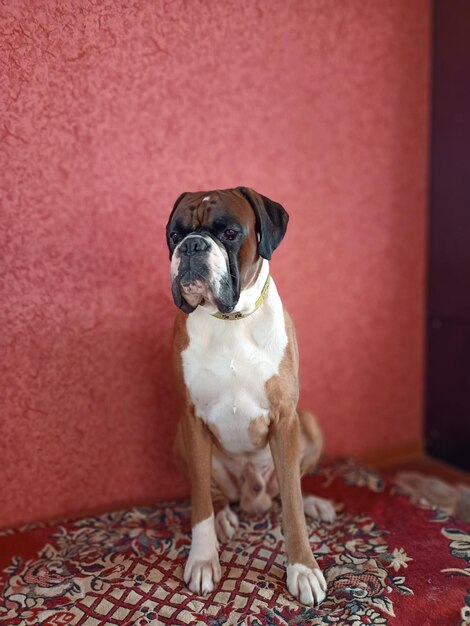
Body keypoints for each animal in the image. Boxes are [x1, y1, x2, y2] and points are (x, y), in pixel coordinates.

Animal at [166, 186, 334, 604]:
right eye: (174, 236)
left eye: (229, 233)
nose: (192, 246)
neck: (231, 320)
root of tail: (253, 497)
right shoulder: (192, 419)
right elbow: (199, 503)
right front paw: (203, 559)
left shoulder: (286, 419)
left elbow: (291, 505)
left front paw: (302, 568)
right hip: (180, 437)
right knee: (214, 493)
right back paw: (225, 516)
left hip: (308, 423)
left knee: (286, 491)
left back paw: (314, 502)